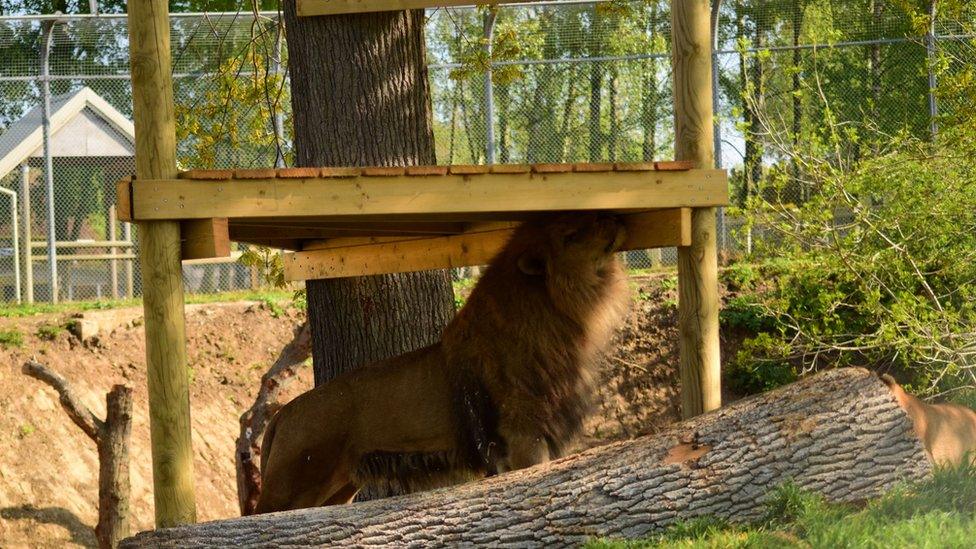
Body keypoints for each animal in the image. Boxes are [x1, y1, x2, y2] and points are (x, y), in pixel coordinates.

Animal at [255, 212, 628, 512]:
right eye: (571, 234)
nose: (611, 216)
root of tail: (284, 414)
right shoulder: (524, 434)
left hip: (338, 488)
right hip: (291, 486)